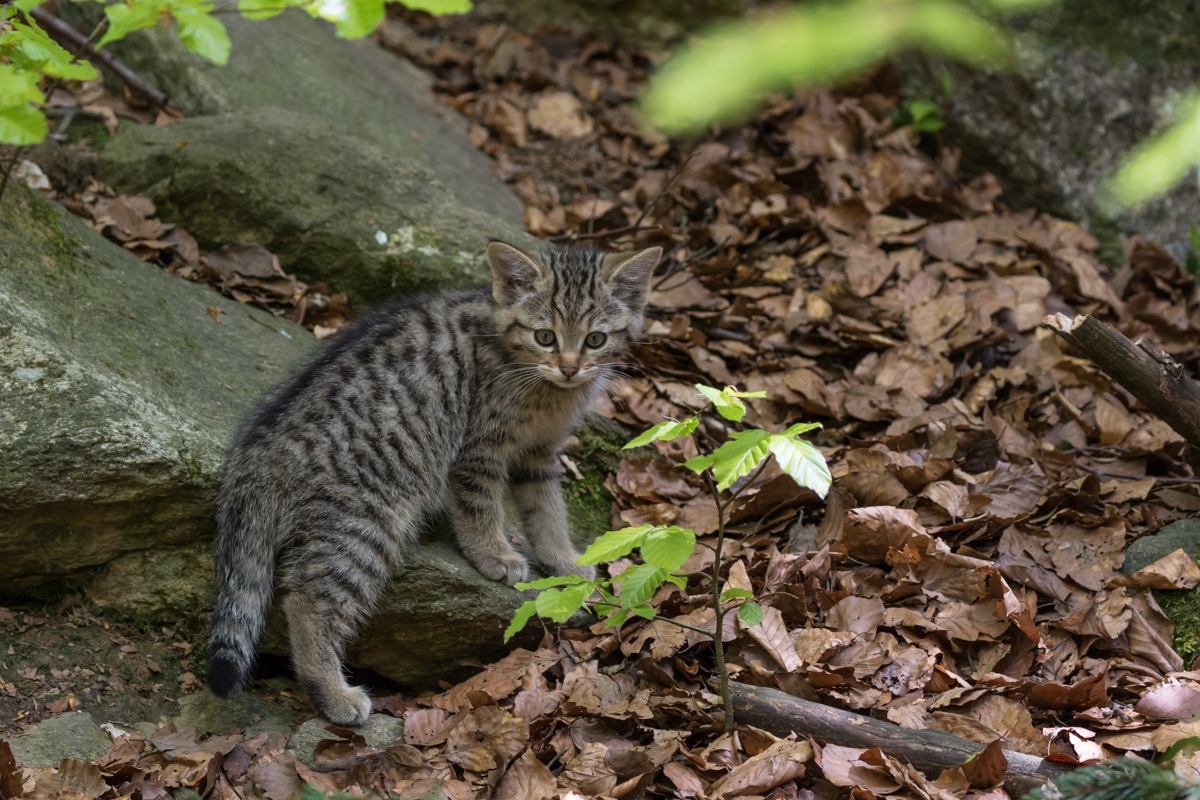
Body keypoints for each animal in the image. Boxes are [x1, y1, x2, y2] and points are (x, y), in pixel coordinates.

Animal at [204, 242, 657, 724]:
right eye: (545, 337)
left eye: (595, 340)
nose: (570, 368)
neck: (544, 388)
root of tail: (260, 450)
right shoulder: (478, 448)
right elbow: (480, 504)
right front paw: (494, 553)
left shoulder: (540, 455)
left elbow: (547, 510)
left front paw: (565, 559)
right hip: (364, 523)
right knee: (309, 600)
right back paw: (332, 692)